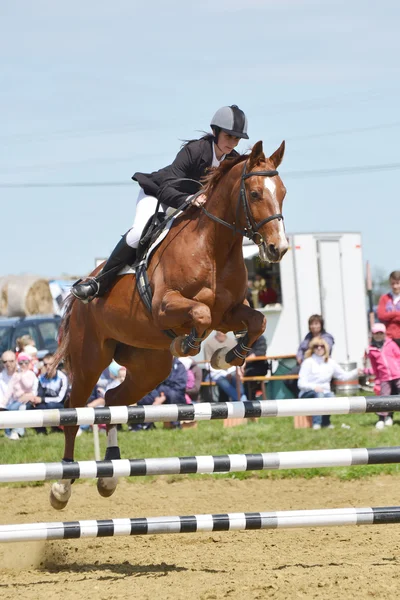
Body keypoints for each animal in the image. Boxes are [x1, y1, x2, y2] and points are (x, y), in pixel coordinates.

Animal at [50, 138, 288, 508]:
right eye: (255, 193)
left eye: (283, 193)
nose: (279, 248)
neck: (213, 246)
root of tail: (77, 295)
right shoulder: (165, 307)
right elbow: (200, 314)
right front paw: (188, 343)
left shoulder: (230, 312)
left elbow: (258, 321)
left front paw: (227, 357)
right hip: (90, 359)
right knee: (73, 411)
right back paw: (63, 484)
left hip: (150, 366)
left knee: (112, 401)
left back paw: (109, 474)